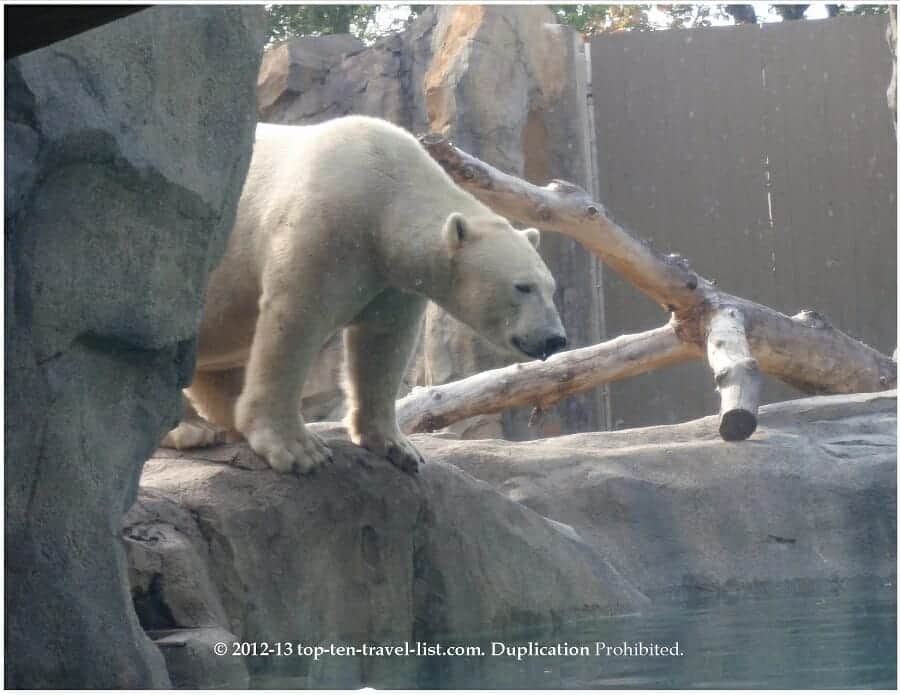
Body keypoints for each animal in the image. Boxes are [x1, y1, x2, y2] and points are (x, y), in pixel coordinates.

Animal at [163, 116, 567, 474]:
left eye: (551, 287)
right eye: (522, 286)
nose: (554, 338)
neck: (385, 193)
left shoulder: (390, 277)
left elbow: (383, 344)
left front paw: (398, 447)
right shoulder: (323, 226)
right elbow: (293, 323)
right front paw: (298, 450)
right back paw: (191, 430)